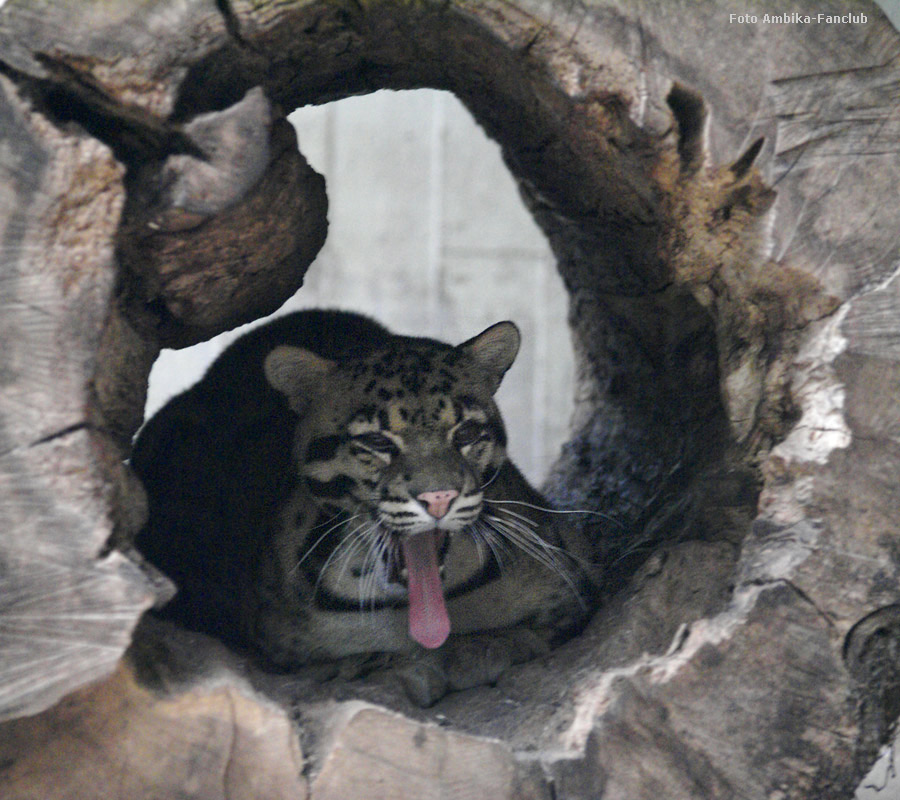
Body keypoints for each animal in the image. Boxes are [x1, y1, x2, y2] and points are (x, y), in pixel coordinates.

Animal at [134, 310, 596, 704]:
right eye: (376, 442)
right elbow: (351, 660)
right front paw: (422, 662)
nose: (439, 498)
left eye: (465, 433)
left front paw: (482, 647)